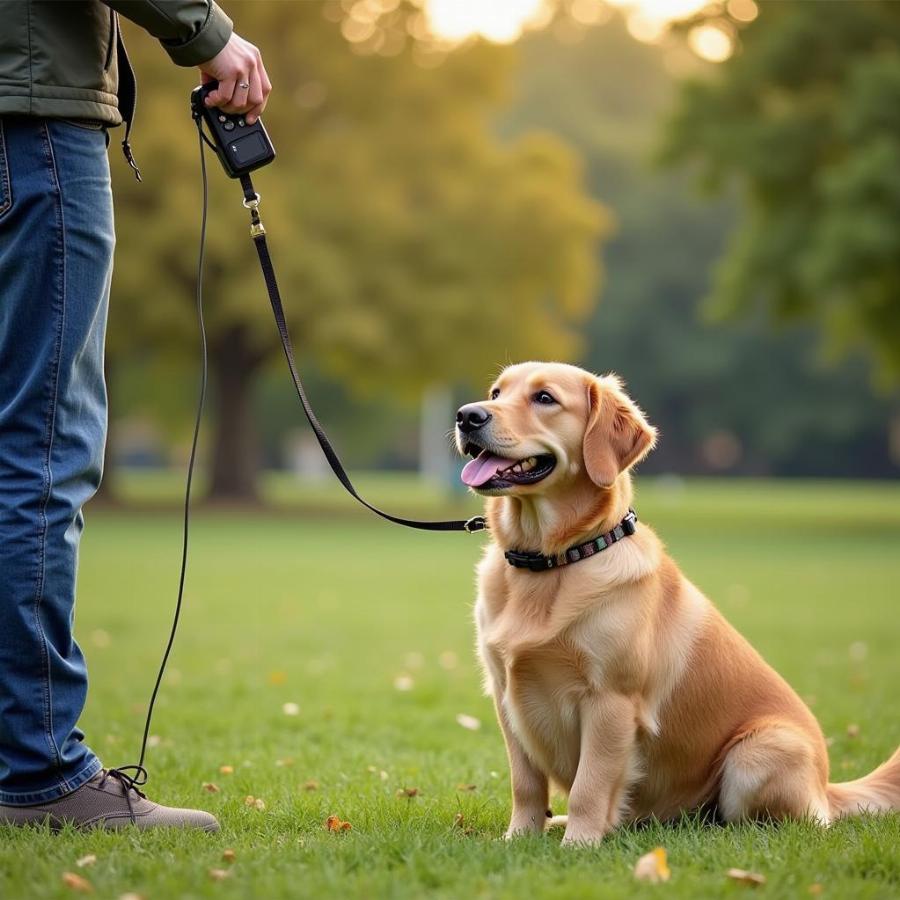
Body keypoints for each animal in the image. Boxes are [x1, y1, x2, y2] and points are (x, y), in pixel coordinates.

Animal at [458, 358, 900, 844]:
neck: (554, 560)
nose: (466, 416)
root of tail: (826, 788)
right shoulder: (506, 694)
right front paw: (519, 839)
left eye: (544, 398)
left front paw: (579, 844)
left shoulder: (611, 700)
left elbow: (588, 786)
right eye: (496, 393)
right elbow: (526, 785)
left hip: (760, 750)